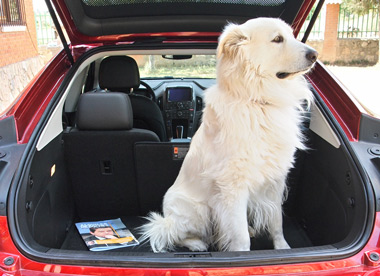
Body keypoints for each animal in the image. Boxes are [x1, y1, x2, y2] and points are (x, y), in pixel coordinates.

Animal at [141, 17, 316, 252]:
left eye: (292, 36)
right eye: (277, 39)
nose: (314, 55)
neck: (258, 101)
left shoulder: (275, 181)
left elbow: (276, 221)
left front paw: (282, 248)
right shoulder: (233, 187)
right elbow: (241, 237)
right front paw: (241, 256)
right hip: (197, 210)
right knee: (174, 233)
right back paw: (196, 244)